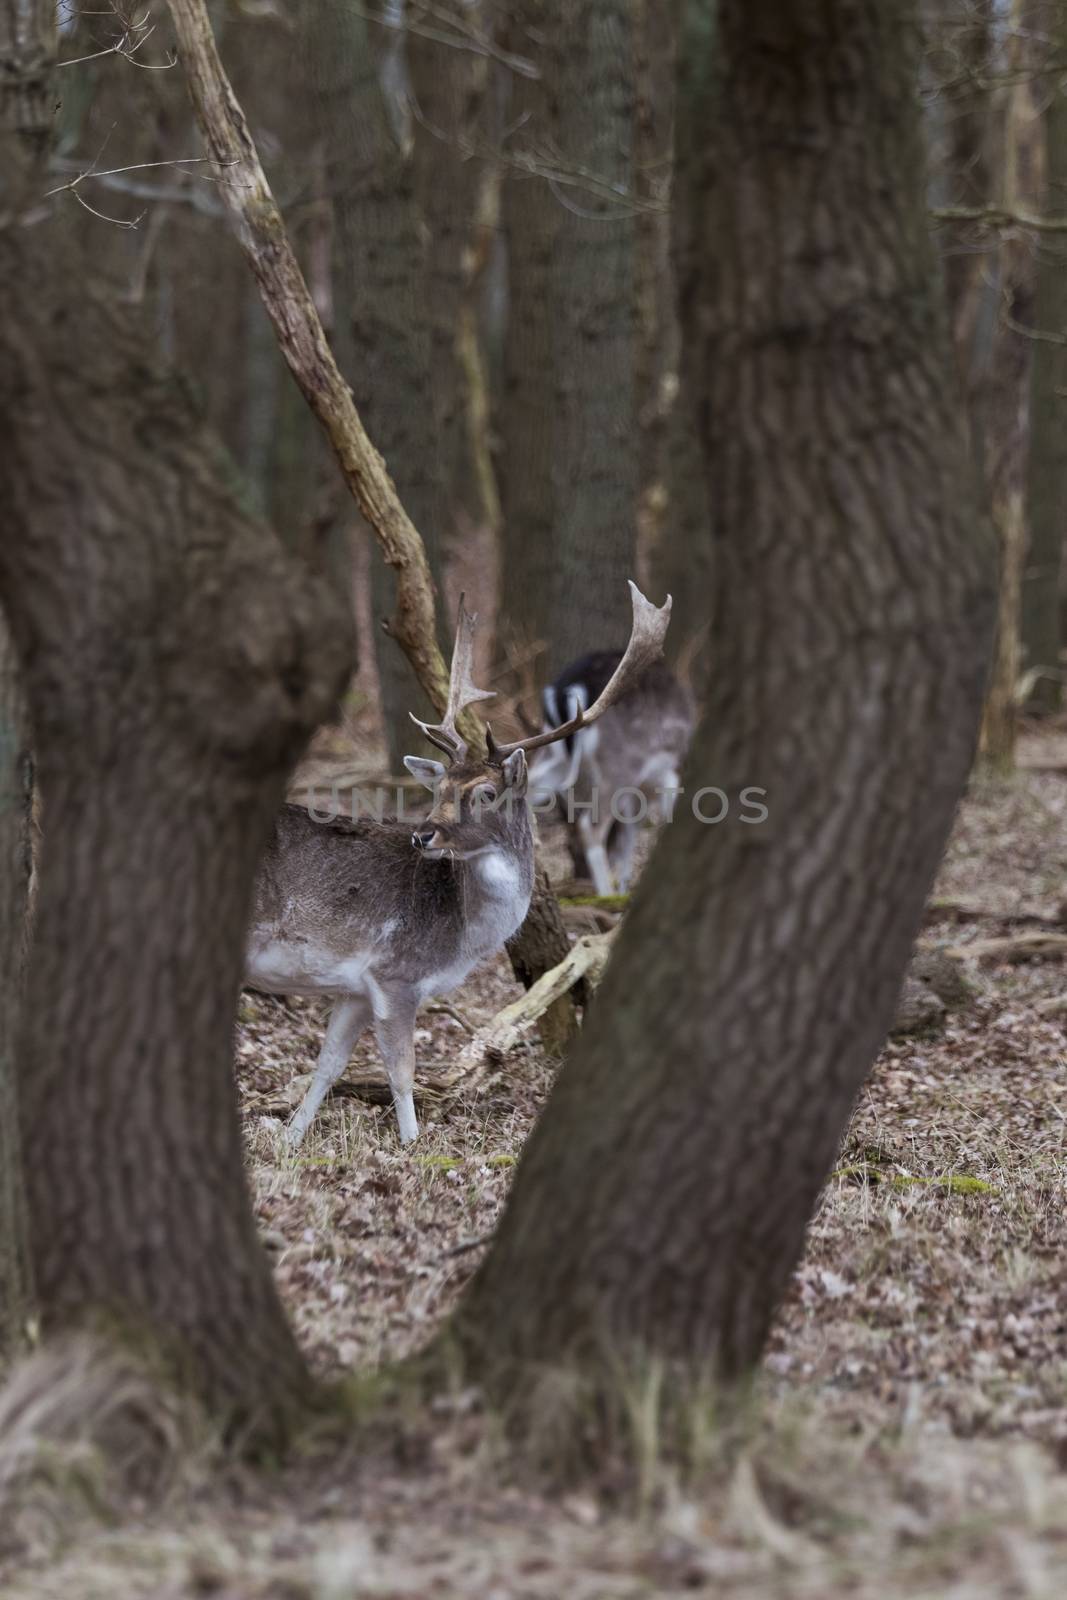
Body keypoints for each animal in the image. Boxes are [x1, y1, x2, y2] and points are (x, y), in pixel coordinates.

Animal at [246, 582, 671, 1145]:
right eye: (440, 787)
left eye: (485, 792)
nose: (424, 833)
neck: (462, 937)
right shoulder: (397, 972)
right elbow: (401, 1072)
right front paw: (411, 1145)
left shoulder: (355, 987)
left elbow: (329, 1064)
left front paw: (290, 1140)